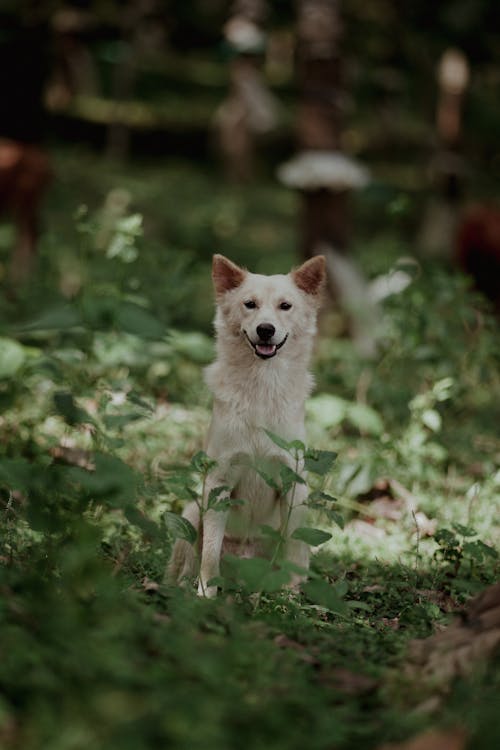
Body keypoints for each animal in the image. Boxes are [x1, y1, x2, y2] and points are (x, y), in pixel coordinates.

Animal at [168, 256, 326, 596]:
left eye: (285, 306)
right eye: (249, 304)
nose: (265, 330)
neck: (261, 391)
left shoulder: (294, 483)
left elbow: (292, 547)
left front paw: (289, 596)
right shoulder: (219, 481)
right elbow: (210, 553)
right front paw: (205, 594)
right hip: (192, 511)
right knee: (188, 559)